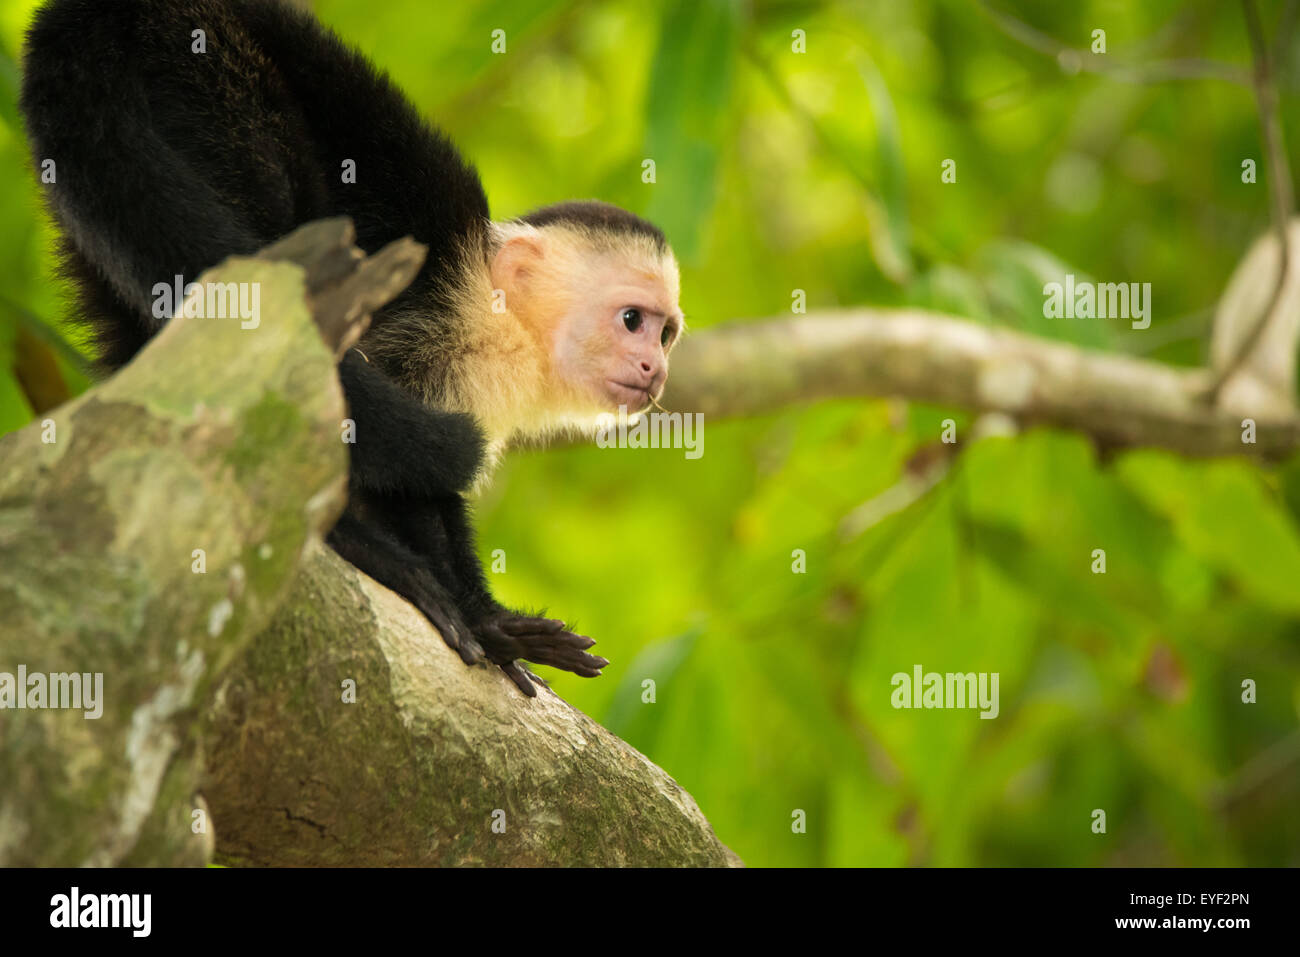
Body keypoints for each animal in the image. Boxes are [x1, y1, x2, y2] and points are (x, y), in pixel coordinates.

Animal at [20, 0, 686, 691]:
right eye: (632, 320)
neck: (504, 322)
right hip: (195, 73)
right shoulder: (440, 319)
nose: (655, 369)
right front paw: (483, 615)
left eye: (666, 334)